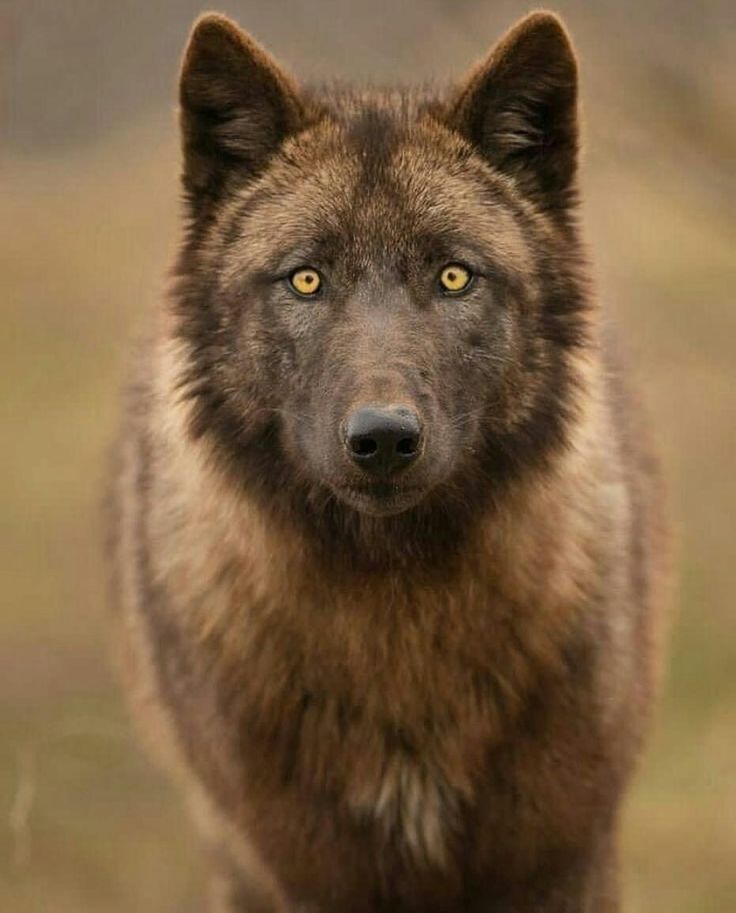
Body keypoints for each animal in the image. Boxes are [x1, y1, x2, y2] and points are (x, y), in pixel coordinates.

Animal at [108, 8, 668, 912]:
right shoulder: (305, 871)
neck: (397, 631)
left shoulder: (563, 858)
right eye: (305, 279)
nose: (382, 439)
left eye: (453, 276)